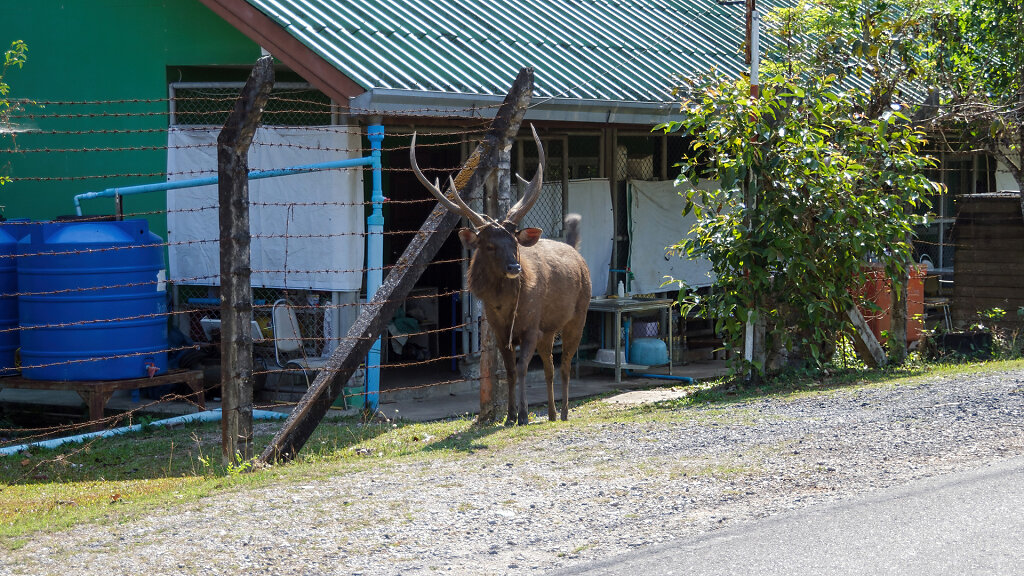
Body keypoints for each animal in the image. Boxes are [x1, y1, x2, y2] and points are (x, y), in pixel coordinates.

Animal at [409, 125, 589, 422]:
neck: (503, 306)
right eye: (489, 245)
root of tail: (576, 252)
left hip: (579, 315)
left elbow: (524, 367)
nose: (515, 268)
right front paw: (510, 415)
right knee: (550, 367)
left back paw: (563, 413)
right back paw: (551, 414)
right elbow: (510, 371)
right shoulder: (500, 330)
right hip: (549, 329)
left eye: (514, 242)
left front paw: (524, 414)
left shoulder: (531, 325)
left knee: (565, 365)